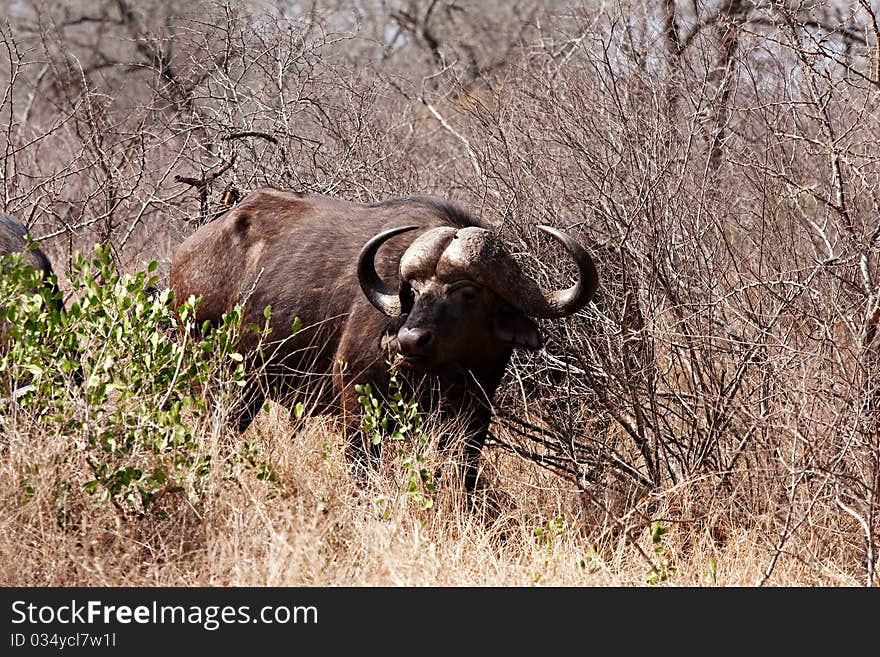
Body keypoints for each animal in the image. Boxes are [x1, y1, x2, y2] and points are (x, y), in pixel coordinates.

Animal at [170, 187, 600, 490]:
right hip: (221, 380)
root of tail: (186, 252)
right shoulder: (357, 402)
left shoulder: (475, 413)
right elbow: (364, 470)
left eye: (468, 292)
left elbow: (464, 473)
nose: (409, 341)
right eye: (414, 290)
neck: (442, 374)